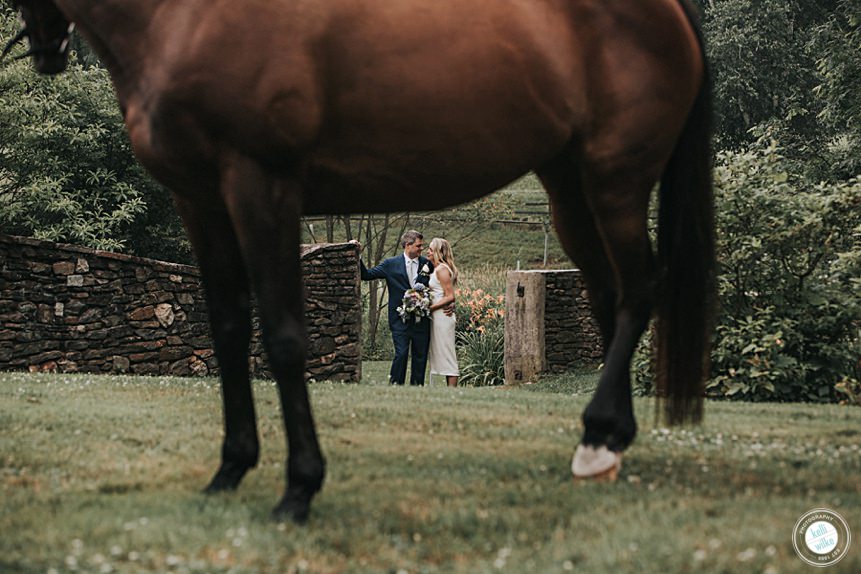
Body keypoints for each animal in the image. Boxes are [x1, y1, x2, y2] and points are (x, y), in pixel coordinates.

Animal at [6, 0, 716, 520]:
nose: (45, 48)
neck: (185, 15)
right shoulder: (201, 202)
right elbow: (230, 332)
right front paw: (230, 470)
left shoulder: (262, 188)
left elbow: (285, 337)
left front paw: (298, 488)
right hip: (570, 187)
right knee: (609, 296)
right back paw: (604, 443)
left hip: (615, 183)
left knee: (637, 291)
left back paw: (599, 437)